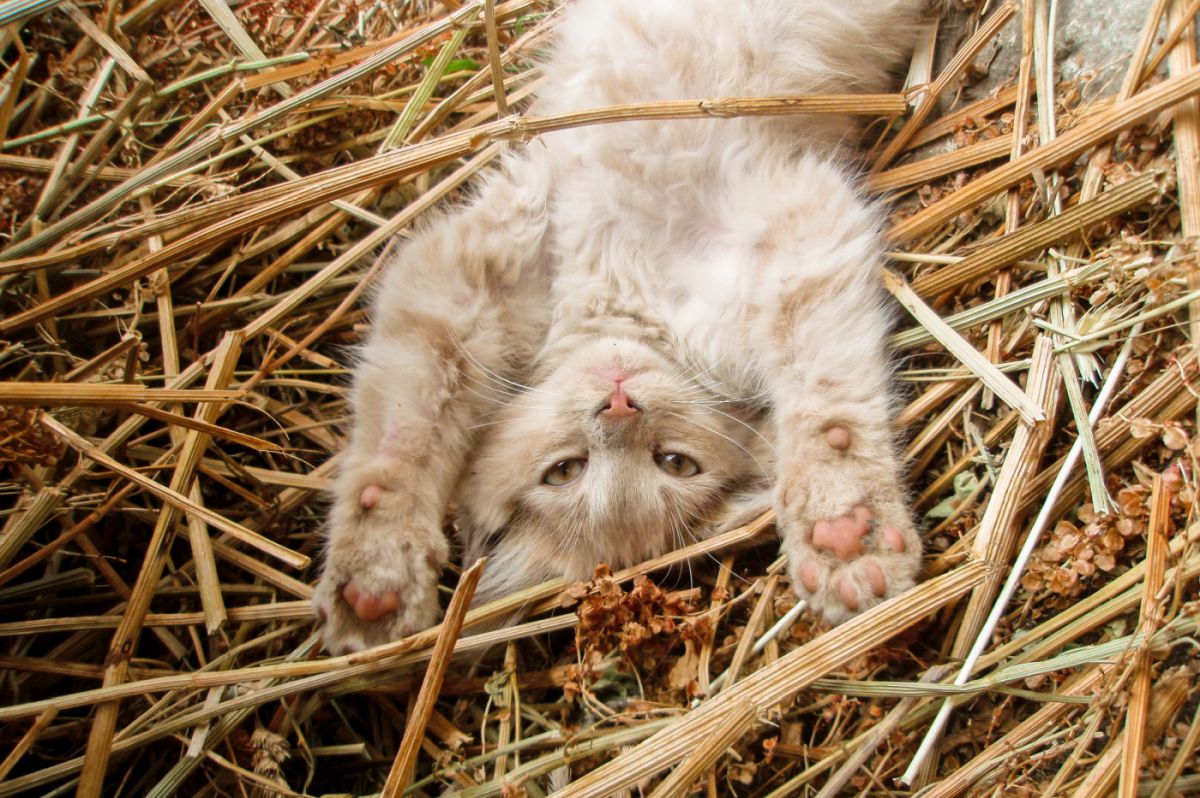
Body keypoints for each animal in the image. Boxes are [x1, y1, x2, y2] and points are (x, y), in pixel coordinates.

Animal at [312, 0, 926, 652]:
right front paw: (376, 573)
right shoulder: (458, 281)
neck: (621, 303)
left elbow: (829, 402)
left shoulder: (797, 230)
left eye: (675, 463)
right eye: (565, 471)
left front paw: (845, 528)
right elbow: (398, 428)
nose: (618, 406)